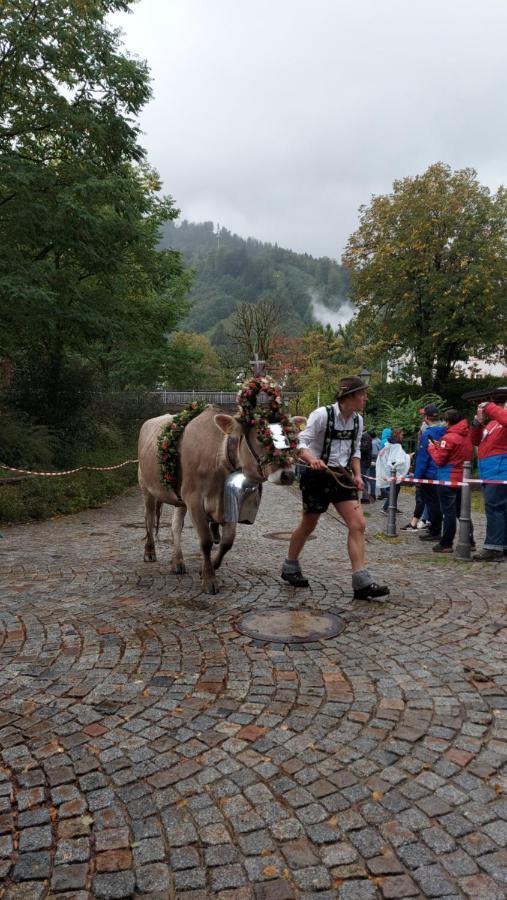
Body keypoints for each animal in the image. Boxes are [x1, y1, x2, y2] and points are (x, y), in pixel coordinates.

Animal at [138, 404, 306, 596]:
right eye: (260, 436)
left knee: (176, 526)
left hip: (180, 498)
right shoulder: (194, 499)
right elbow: (206, 541)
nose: (288, 474)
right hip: (146, 488)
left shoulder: (230, 501)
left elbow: (227, 541)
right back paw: (150, 552)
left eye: (292, 438)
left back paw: (177, 562)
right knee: (149, 519)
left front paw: (209, 567)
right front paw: (209, 579)